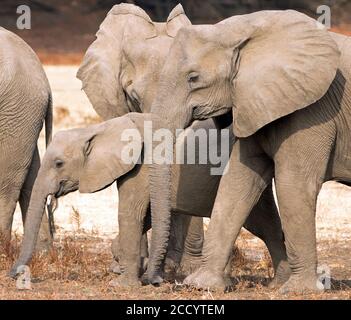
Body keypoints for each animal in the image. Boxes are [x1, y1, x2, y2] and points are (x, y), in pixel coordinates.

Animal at [11, 113, 292, 288]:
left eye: (59, 163)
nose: (15, 273)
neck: (100, 129)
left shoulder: (140, 167)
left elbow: (131, 213)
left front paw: (121, 283)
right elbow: (145, 216)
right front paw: (127, 267)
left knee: (259, 223)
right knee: (266, 223)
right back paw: (275, 282)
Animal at [145, 10, 350, 292]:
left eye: (193, 78)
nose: (153, 281)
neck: (243, 31)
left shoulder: (313, 109)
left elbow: (293, 185)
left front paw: (298, 290)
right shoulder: (254, 101)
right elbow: (237, 182)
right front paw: (201, 285)